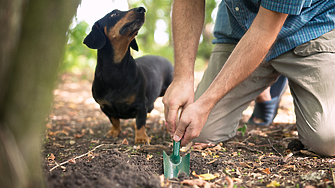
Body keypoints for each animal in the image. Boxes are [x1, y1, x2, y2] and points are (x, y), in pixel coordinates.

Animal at [83, 6, 173, 144]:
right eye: (114, 14)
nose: (142, 9)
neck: (115, 72)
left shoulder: (141, 105)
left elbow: (140, 122)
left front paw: (141, 138)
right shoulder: (104, 107)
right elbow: (114, 120)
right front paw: (114, 132)